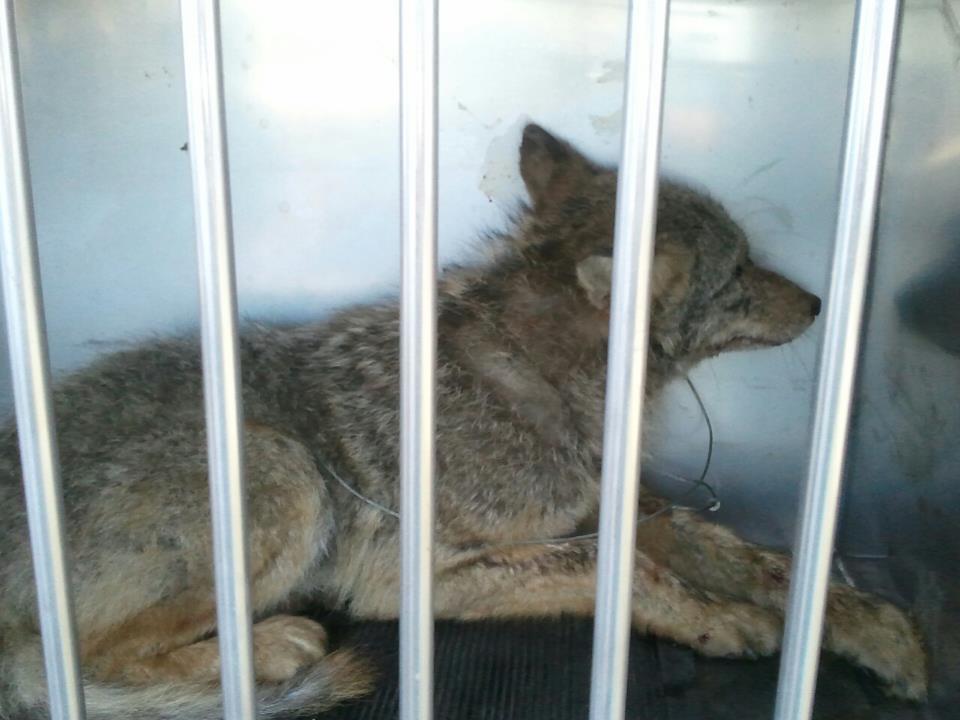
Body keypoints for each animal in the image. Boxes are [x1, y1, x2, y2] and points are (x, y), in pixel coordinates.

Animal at [0, 124, 926, 718]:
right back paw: (271, 648)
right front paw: (718, 619)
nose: (818, 301)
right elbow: (615, 568)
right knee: (81, 661)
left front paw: (875, 630)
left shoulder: (619, 505)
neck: (539, 379)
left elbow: (755, 555)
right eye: (736, 276)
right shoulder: (410, 577)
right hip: (286, 471)